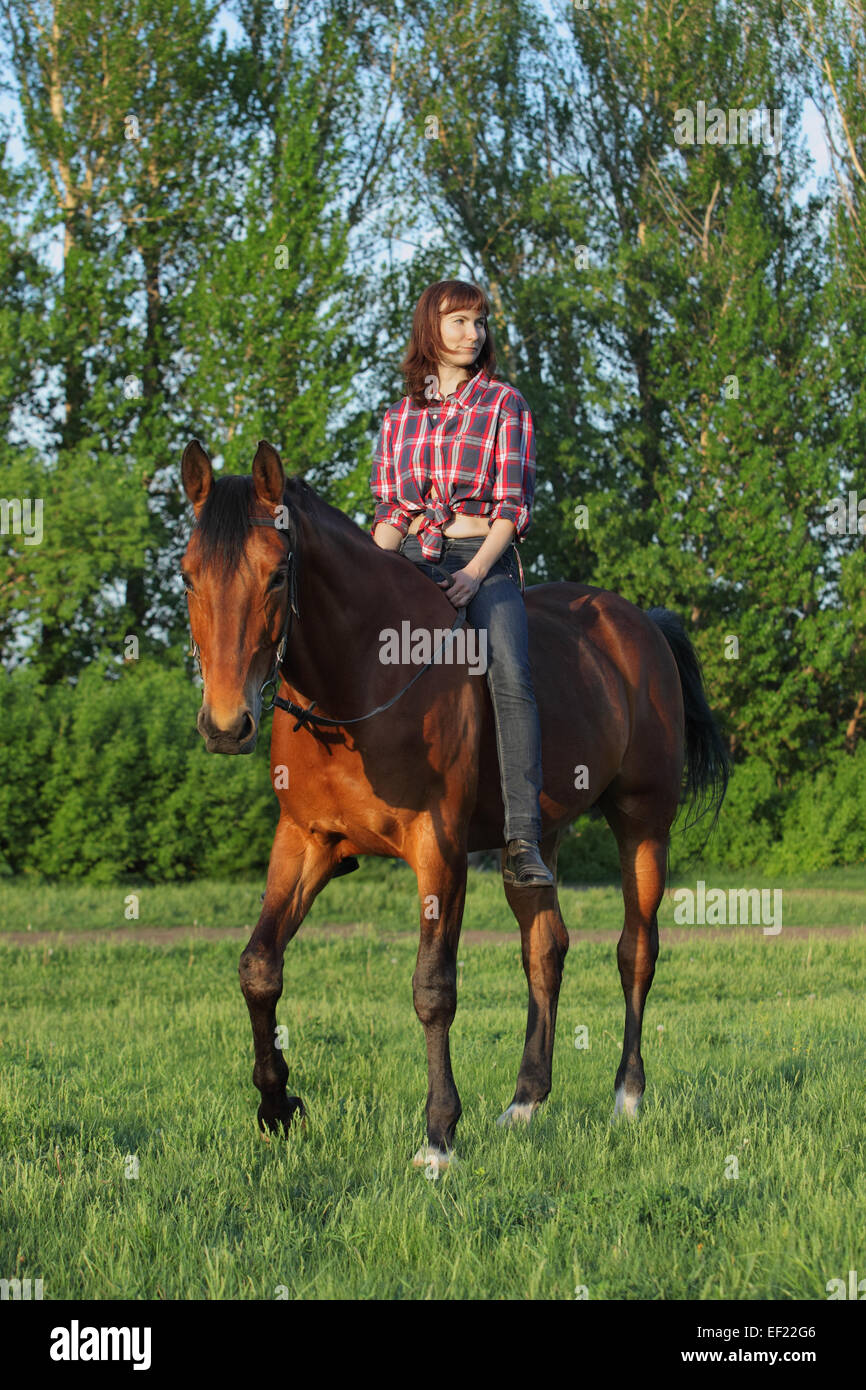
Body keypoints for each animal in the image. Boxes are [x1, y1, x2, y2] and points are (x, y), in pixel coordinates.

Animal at [180, 438, 729, 1167]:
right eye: (188, 575)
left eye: (276, 574)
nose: (226, 724)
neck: (364, 673)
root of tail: (641, 624)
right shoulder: (306, 841)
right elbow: (259, 968)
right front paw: (276, 1106)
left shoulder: (438, 847)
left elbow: (433, 988)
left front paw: (439, 1136)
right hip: (536, 838)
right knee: (545, 949)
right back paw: (525, 1102)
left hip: (643, 822)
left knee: (635, 950)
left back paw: (627, 1097)